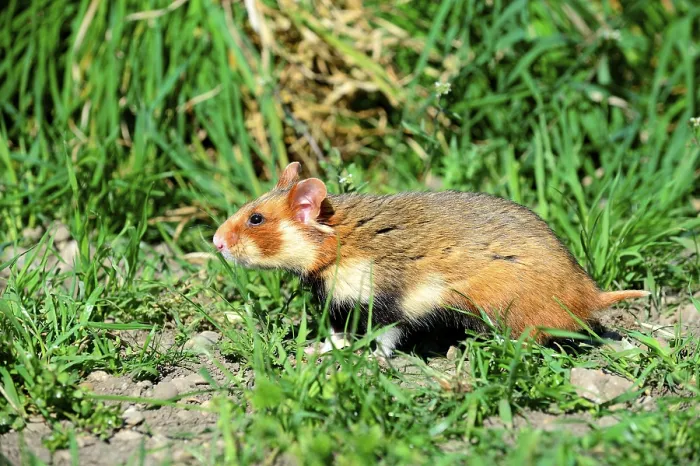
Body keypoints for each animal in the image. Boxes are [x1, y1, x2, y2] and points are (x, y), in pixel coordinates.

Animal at [213, 162, 649, 358]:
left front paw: (372, 360)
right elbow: (337, 333)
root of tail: (591, 296)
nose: (215, 242)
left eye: (256, 219)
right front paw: (315, 351)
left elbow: (385, 339)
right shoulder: (339, 303)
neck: (338, 243)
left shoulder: (389, 303)